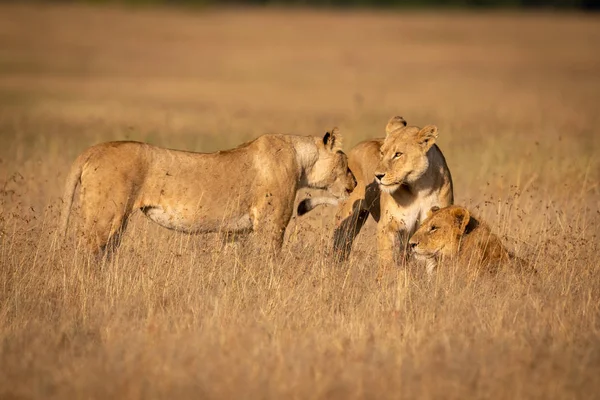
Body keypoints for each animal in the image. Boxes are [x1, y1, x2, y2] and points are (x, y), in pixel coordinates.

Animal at [59, 129, 356, 256]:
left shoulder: (234, 232)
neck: (301, 160)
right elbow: (271, 260)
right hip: (104, 217)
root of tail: (92, 149)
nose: (354, 183)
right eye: (345, 160)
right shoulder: (271, 224)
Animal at [298, 115, 452, 272]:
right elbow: (387, 262)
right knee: (341, 246)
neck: (419, 188)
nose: (377, 176)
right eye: (382, 153)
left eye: (398, 154)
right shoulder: (387, 225)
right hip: (348, 219)